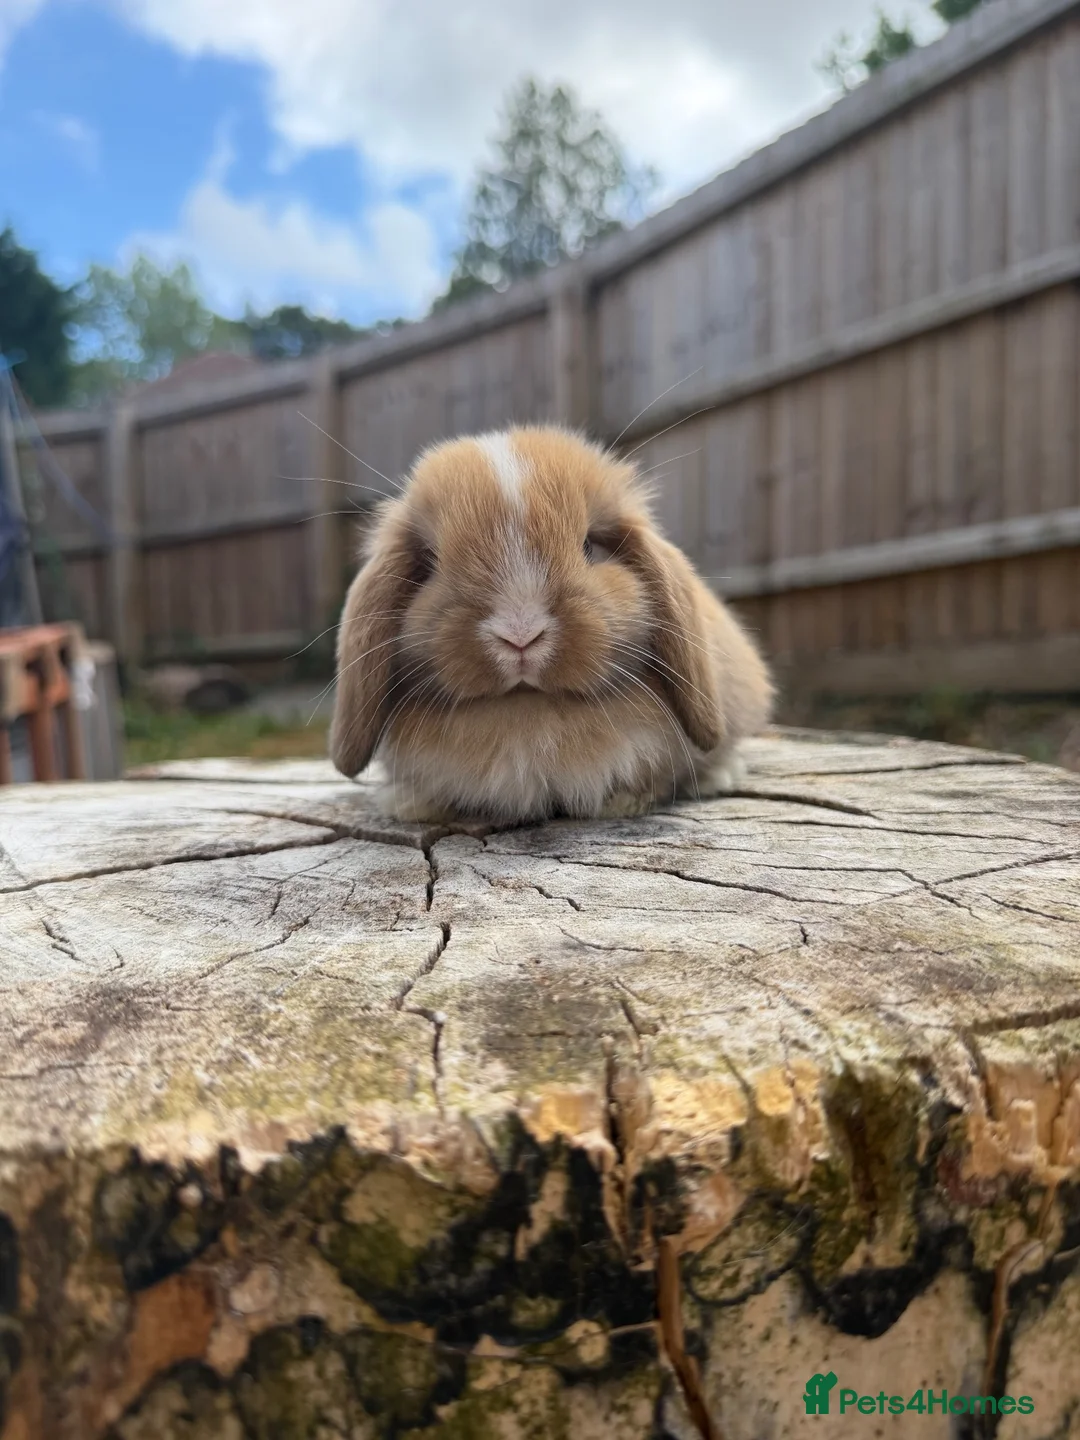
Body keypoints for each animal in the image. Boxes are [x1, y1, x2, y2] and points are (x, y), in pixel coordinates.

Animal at [330, 425, 773, 823]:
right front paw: (410, 806)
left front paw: (623, 802)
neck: (529, 717)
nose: (520, 634)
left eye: (590, 546)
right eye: (430, 562)